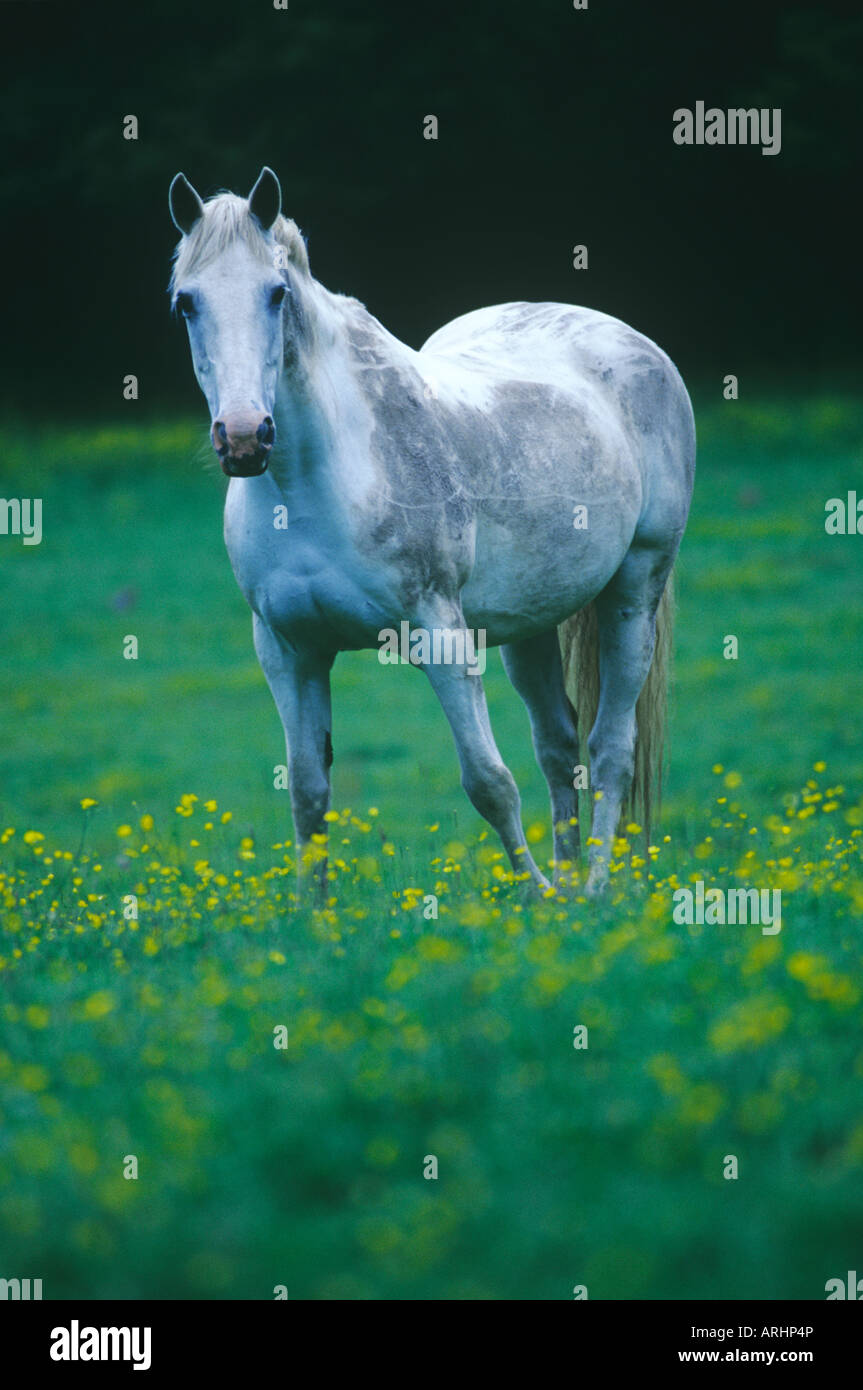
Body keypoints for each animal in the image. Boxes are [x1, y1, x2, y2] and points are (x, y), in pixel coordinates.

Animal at [166, 168, 692, 895]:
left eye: (276, 293)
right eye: (186, 303)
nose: (244, 438)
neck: (317, 483)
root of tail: (631, 341)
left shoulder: (439, 636)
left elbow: (489, 784)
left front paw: (532, 899)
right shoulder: (289, 651)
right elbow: (308, 794)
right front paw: (313, 915)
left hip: (634, 589)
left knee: (611, 750)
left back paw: (591, 891)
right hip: (528, 624)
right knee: (558, 749)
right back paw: (570, 893)